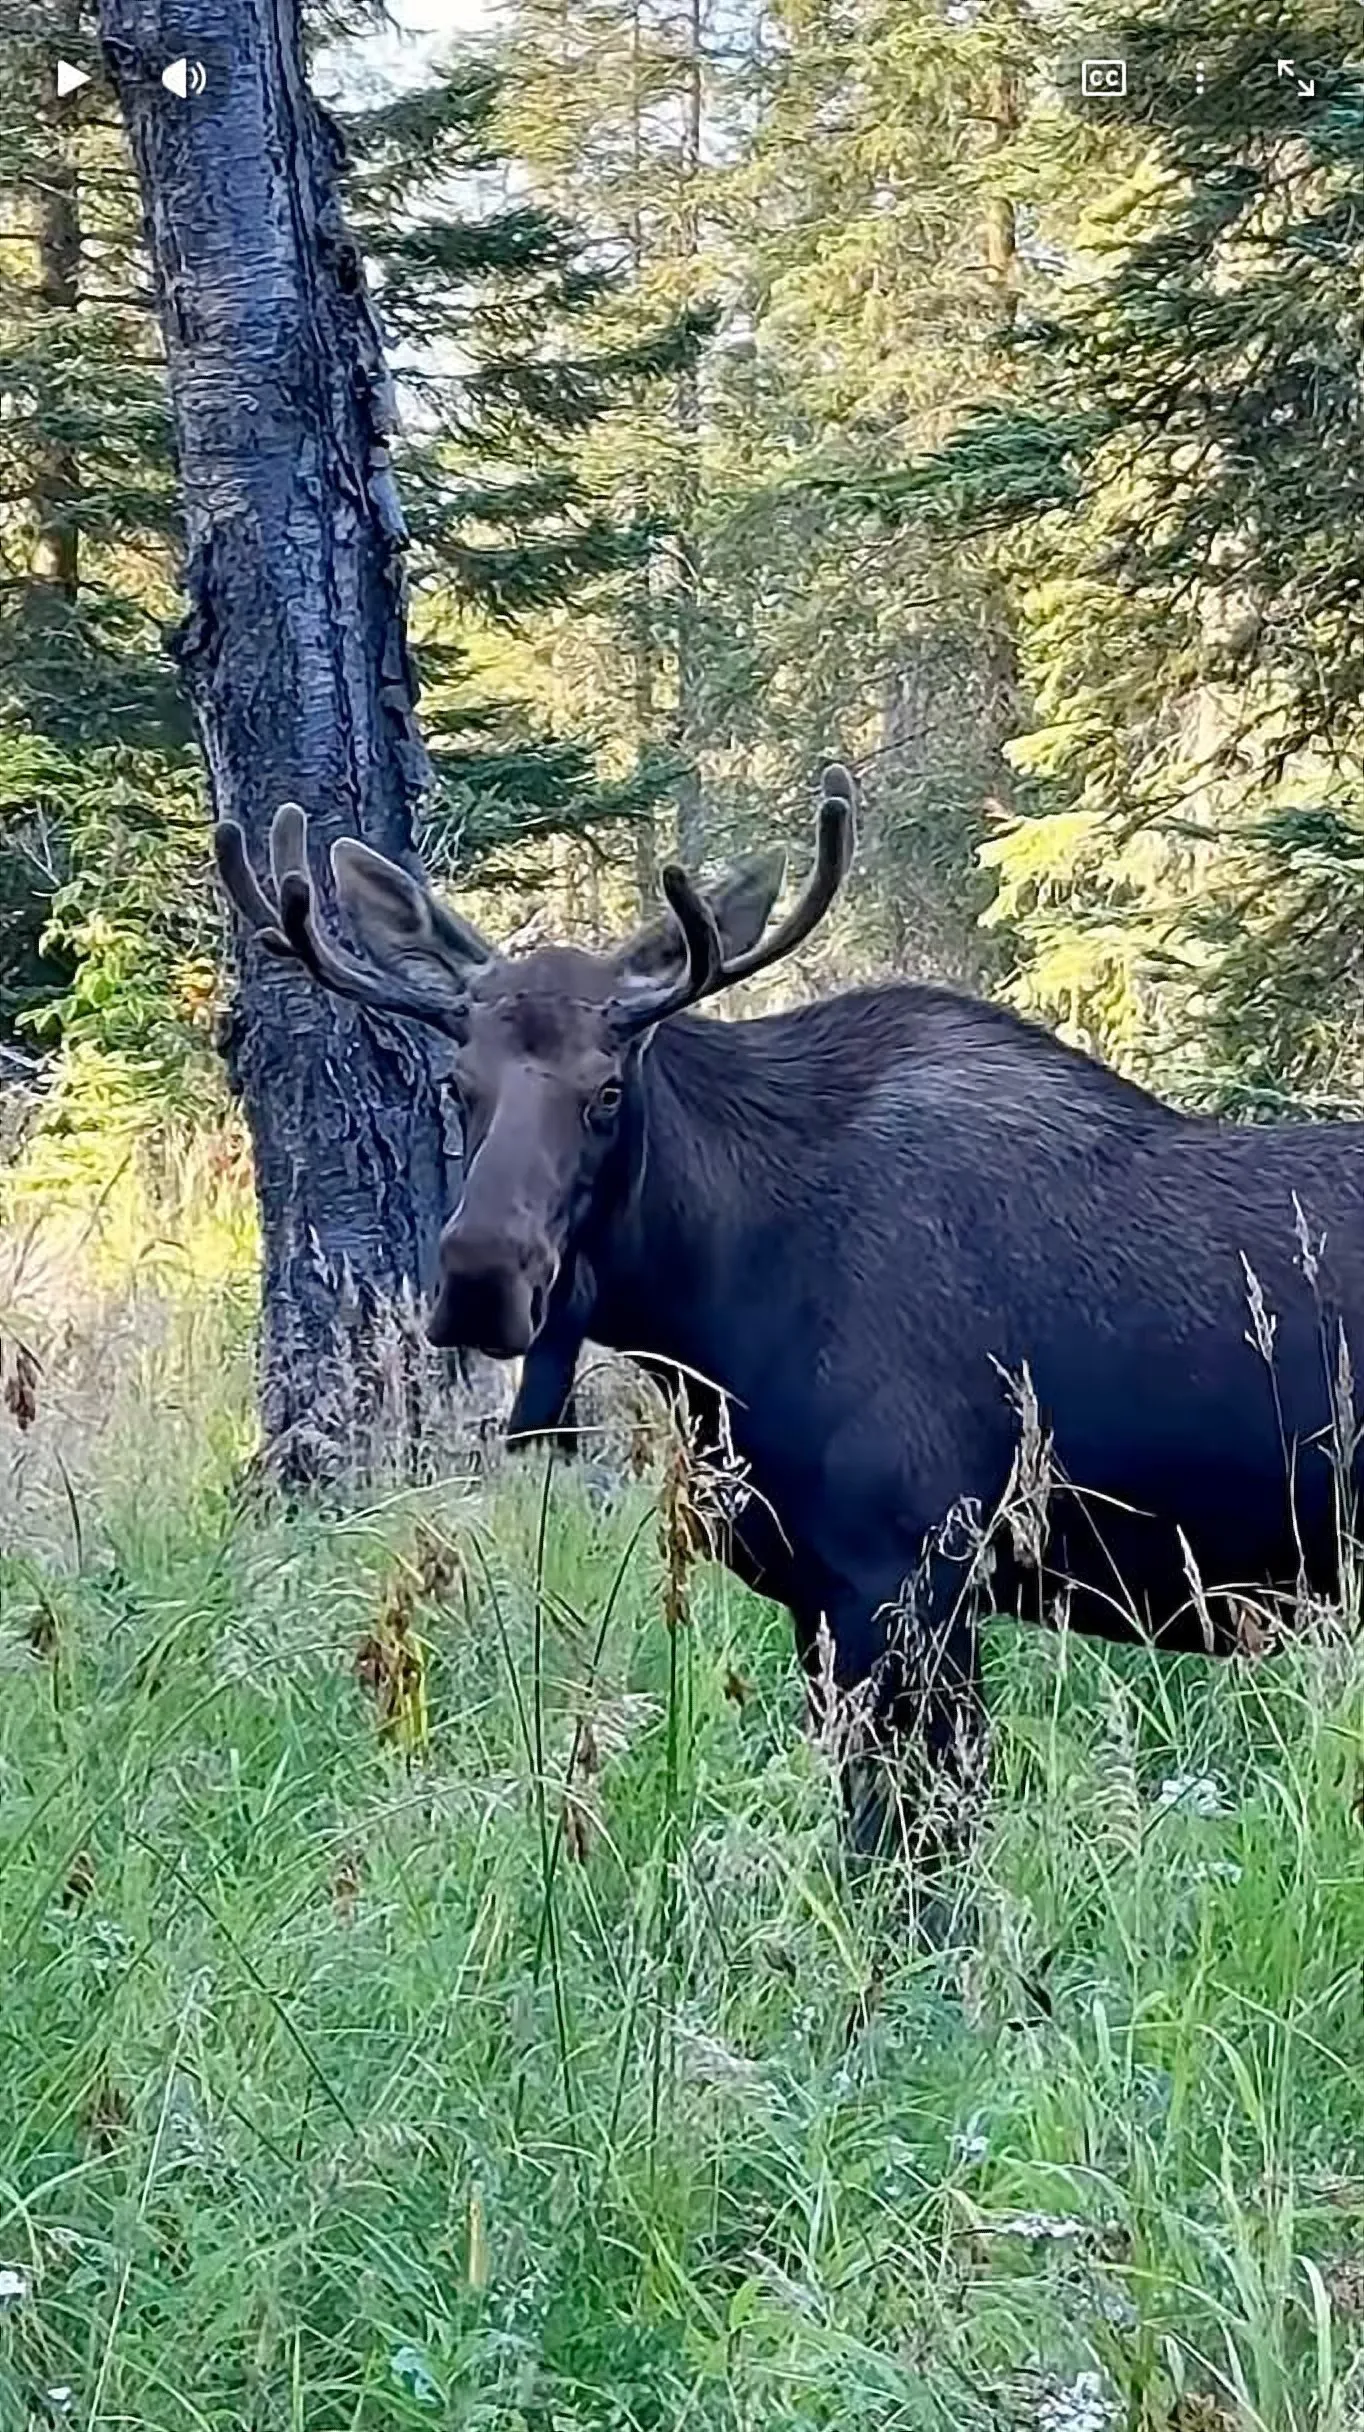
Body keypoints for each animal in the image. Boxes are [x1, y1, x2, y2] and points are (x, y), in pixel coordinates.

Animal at [214, 767, 1364, 1867]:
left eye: (605, 1091)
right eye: (460, 1086)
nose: (481, 1277)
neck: (709, 1324)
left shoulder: (910, 1573)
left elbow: (919, 1859)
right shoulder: (819, 1595)